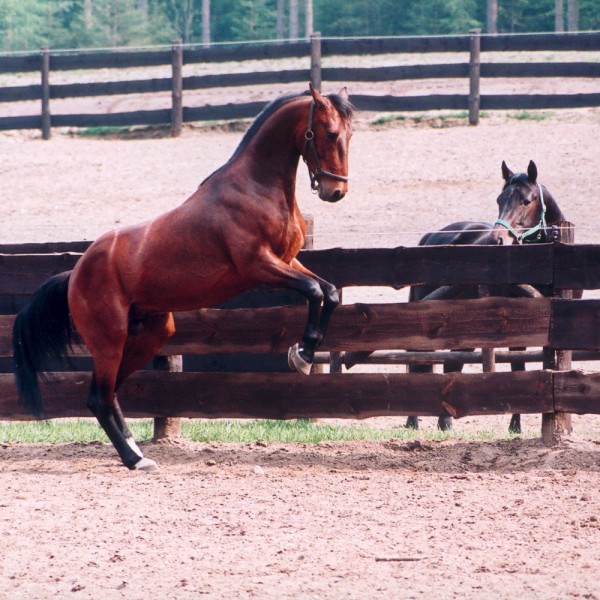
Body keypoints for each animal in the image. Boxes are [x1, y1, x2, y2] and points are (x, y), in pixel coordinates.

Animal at [12, 84, 352, 472]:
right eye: (329, 132)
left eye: (349, 134)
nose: (335, 192)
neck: (257, 187)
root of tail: (75, 274)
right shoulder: (258, 266)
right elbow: (313, 291)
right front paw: (303, 354)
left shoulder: (288, 260)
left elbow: (330, 293)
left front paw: (305, 351)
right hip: (109, 340)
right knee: (98, 398)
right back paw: (134, 460)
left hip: (150, 335)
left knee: (111, 394)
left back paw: (138, 451)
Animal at [406, 159, 568, 432]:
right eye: (499, 200)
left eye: (526, 200)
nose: (497, 239)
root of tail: (430, 238)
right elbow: (517, 368)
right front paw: (516, 424)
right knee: (420, 363)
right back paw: (413, 421)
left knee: (450, 363)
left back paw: (444, 421)